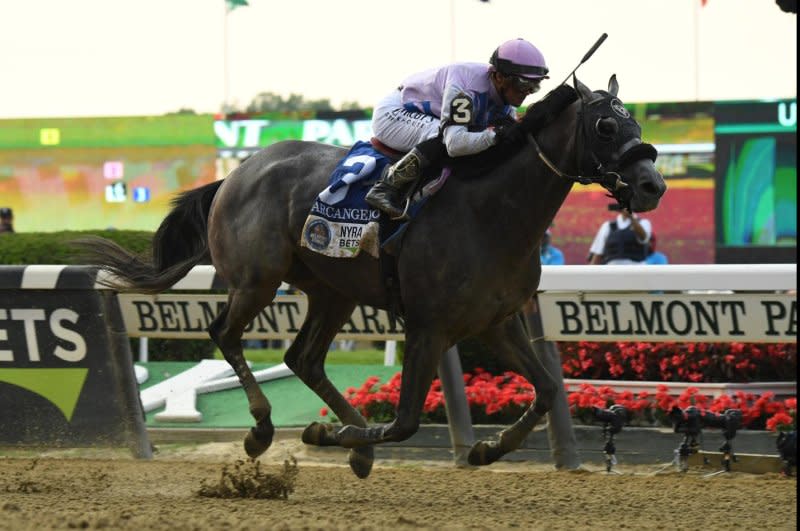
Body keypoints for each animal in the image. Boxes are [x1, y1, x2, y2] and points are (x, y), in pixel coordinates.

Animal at [79, 77, 664, 480]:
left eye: (636, 124)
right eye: (606, 126)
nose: (652, 185)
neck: (491, 211)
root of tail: (236, 173)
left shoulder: (497, 322)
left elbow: (545, 389)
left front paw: (485, 448)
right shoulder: (429, 327)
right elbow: (405, 421)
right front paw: (324, 432)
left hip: (331, 291)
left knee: (303, 358)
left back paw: (356, 445)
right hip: (256, 279)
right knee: (226, 333)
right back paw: (266, 429)